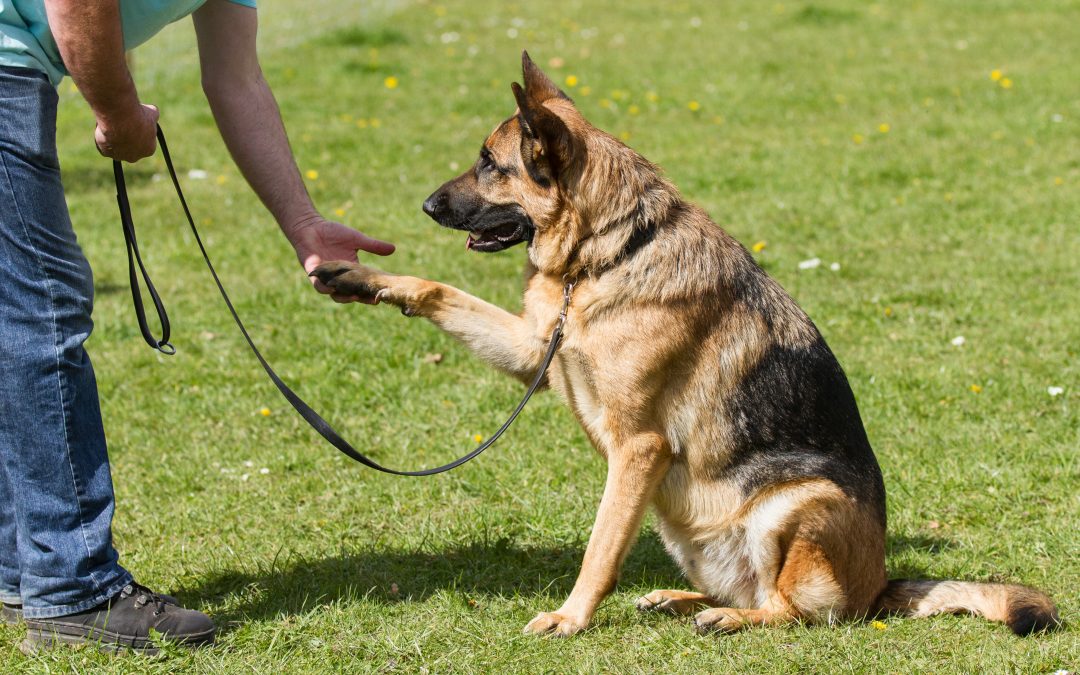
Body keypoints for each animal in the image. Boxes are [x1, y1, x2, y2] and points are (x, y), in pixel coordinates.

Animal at [315, 52, 1062, 635]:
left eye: (487, 163)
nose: (426, 206)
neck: (607, 252)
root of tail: (880, 584)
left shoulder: (638, 448)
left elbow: (600, 547)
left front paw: (570, 617)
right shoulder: (537, 351)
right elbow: (438, 290)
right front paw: (360, 277)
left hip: (796, 502)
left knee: (797, 610)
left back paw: (728, 617)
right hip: (684, 525)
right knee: (751, 588)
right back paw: (682, 600)